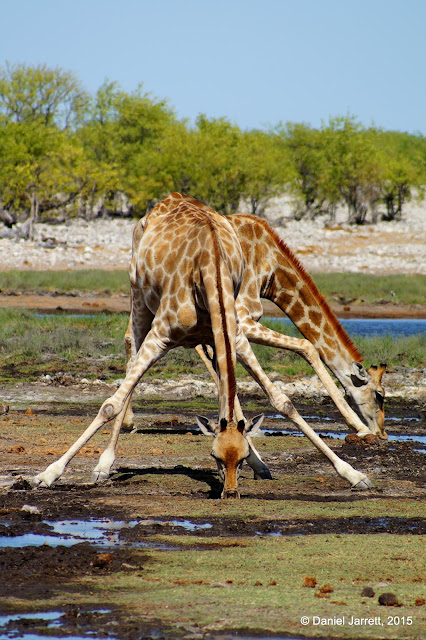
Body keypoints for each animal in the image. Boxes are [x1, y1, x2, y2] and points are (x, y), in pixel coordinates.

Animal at [32, 194, 372, 496]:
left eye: (239, 458)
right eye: (214, 457)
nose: (230, 493)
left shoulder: (235, 334)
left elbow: (282, 401)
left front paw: (353, 473)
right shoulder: (171, 333)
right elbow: (110, 403)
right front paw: (48, 474)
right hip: (139, 299)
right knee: (130, 364)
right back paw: (103, 464)